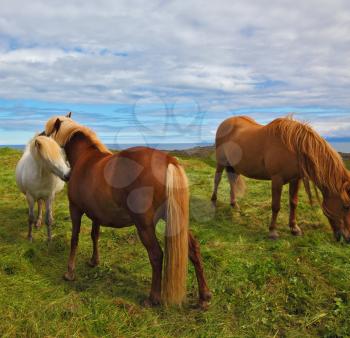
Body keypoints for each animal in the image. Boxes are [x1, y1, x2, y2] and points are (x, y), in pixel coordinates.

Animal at [42, 113, 212, 306]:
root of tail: (169, 160)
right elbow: (94, 235)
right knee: (193, 249)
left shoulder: (75, 209)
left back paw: (153, 298)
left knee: (156, 255)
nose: (39, 137)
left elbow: (74, 239)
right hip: (175, 219)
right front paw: (94, 261)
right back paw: (204, 296)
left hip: (145, 225)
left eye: (47, 133)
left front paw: (69, 272)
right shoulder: (96, 215)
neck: (85, 158)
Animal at [211, 115, 350, 240]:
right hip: (221, 162)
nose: (347, 238)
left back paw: (234, 204)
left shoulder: (296, 180)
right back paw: (213, 201)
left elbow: (293, 203)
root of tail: (225, 123)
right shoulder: (277, 179)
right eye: (346, 206)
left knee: (232, 182)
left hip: (234, 166)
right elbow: (276, 206)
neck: (294, 147)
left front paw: (294, 228)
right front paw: (272, 231)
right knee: (217, 180)